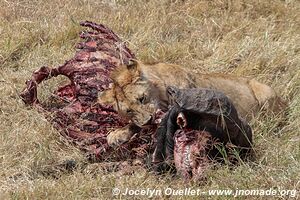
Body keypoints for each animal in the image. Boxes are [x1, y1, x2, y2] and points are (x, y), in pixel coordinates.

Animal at [98, 59, 286, 145]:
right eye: (128, 111)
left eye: (142, 98)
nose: (148, 120)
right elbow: (134, 125)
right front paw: (117, 134)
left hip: (265, 92)